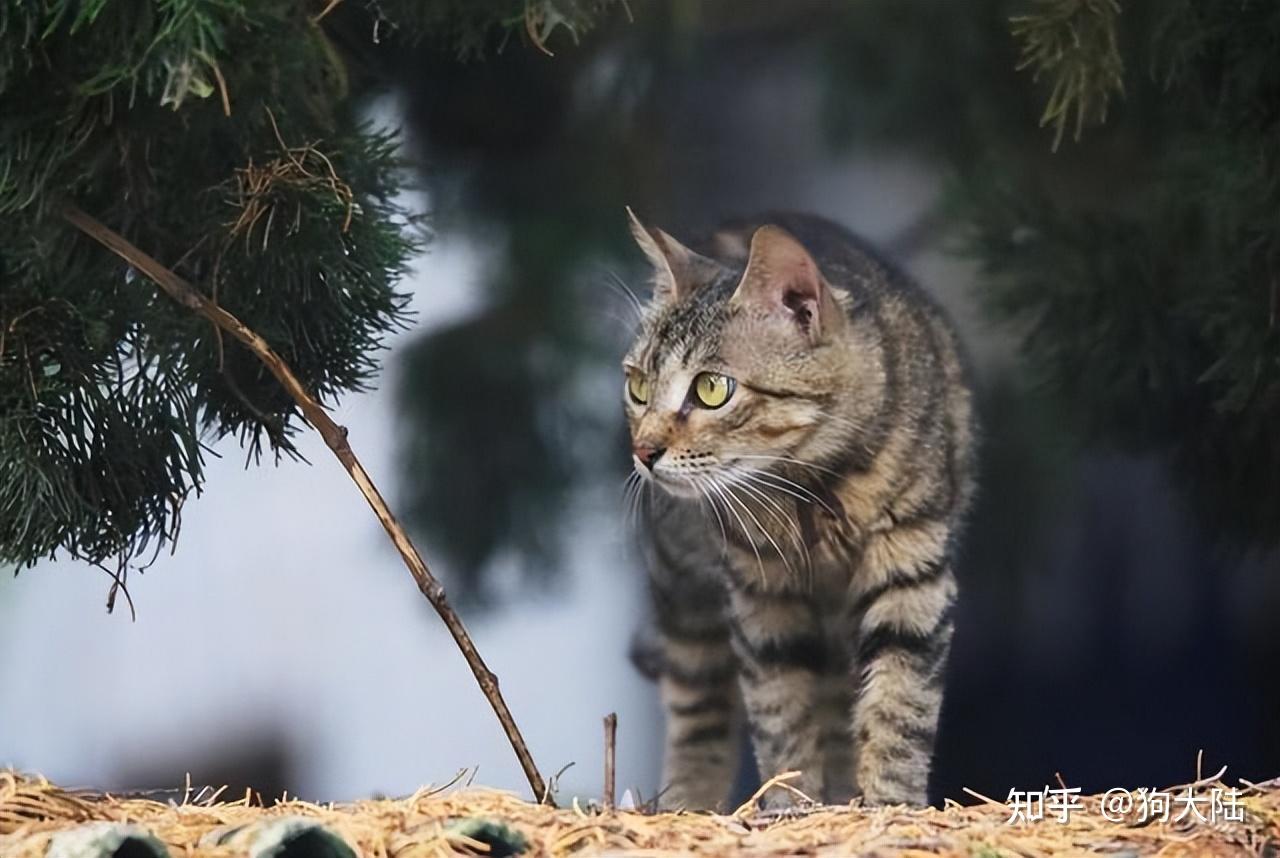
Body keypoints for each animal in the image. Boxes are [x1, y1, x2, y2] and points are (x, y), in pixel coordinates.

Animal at [624, 210, 972, 814]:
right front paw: (790, 807)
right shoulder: (760, 597)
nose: (643, 452)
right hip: (685, 593)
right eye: (638, 386)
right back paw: (688, 800)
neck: (813, 484)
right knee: (699, 711)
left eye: (712, 389)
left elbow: (899, 707)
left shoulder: (913, 570)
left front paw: (891, 806)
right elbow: (780, 714)